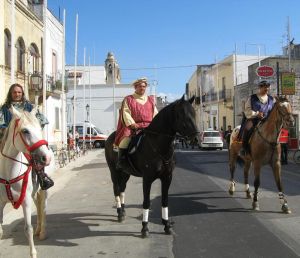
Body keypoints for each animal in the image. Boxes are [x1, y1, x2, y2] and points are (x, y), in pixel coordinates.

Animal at [0, 106, 52, 256]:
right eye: (25, 131)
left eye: (40, 128)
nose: (47, 157)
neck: (8, 175)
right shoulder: (0, 203)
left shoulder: (26, 201)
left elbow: (27, 228)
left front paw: (33, 253)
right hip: (34, 194)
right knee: (38, 207)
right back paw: (38, 230)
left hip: (43, 191)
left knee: (43, 208)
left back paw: (42, 232)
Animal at [105, 95, 199, 238]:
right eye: (182, 114)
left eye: (194, 113)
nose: (196, 138)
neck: (158, 146)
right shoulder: (147, 179)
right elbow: (146, 202)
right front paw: (144, 228)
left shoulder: (167, 177)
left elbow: (165, 201)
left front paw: (166, 225)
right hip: (114, 171)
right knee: (116, 189)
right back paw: (120, 213)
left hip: (125, 173)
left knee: (122, 189)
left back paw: (123, 210)